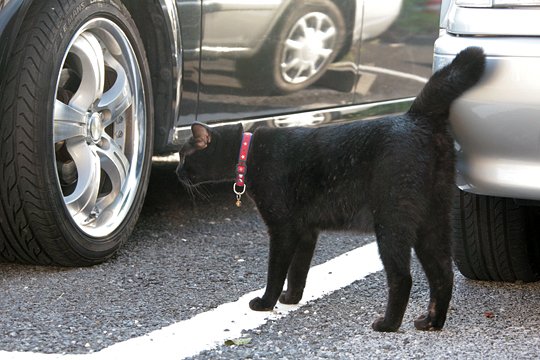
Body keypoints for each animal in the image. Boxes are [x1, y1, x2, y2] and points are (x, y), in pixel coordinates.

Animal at [176, 47, 486, 332]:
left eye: (183, 155)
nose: (177, 172)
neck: (248, 153)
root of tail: (416, 117)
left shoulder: (282, 229)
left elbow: (276, 271)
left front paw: (265, 302)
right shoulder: (306, 231)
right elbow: (297, 271)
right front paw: (291, 298)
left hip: (392, 222)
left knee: (402, 277)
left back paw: (388, 324)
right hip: (432, 221)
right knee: (443, 274)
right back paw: (431, 322)